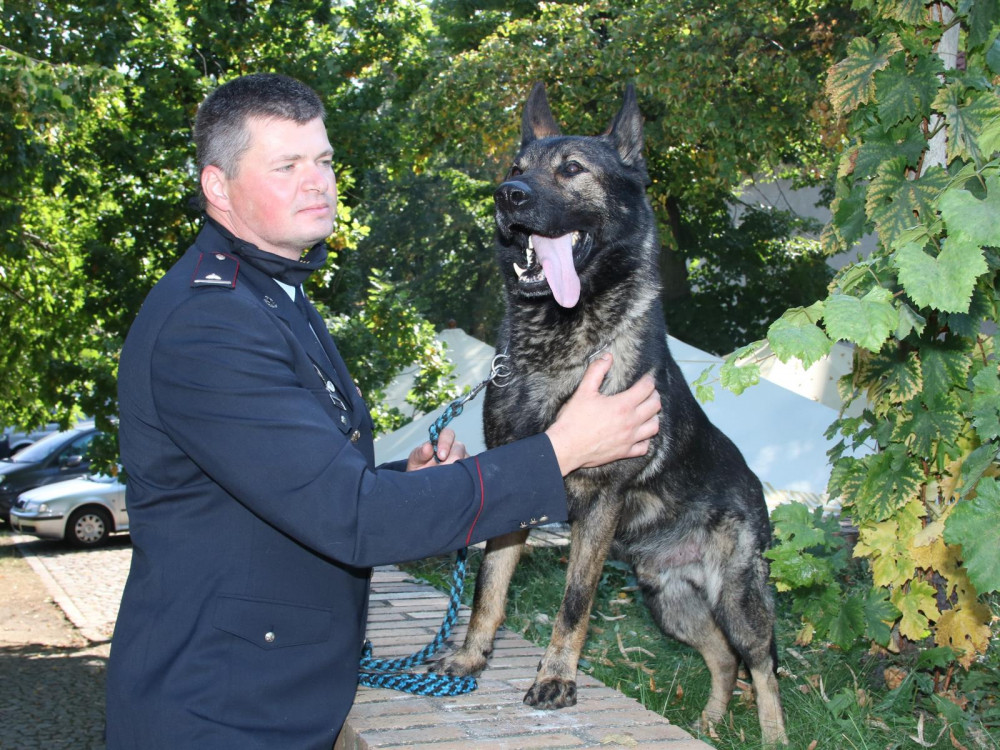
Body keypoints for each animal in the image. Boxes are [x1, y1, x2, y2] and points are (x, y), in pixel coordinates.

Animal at [433, 83, 787, 745]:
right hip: (668, 602)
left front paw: (555, 679)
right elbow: (489, 589)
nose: (507, 195)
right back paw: (709, 720)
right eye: (516, 167)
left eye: (572, 169)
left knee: (760, 663)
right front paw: (469, 657)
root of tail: (755, 485)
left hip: (735, 597)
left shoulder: (598, 503)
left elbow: (574, 603)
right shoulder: (515, 490)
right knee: (721, 656)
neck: (557, 340)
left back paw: (774, 735)